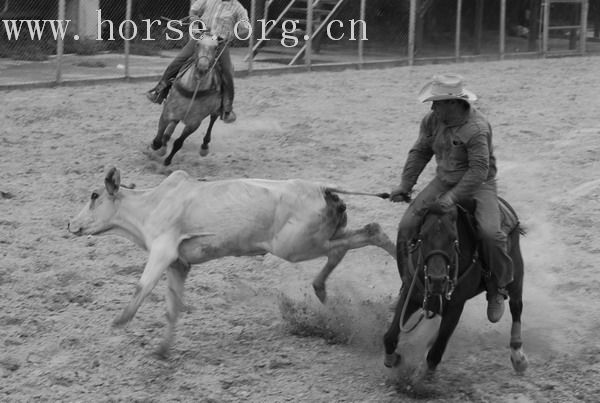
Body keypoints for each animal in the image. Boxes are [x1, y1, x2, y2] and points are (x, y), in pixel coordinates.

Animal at [150, 34, 225, 166]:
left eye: (216, 47)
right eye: (197, 44)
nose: (202, 67)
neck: (193, 88)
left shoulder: (194, 123)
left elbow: (179, 142)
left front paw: (167, 161)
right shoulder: (168, 112)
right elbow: (160, 133)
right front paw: (157, 145)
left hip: (215, 109)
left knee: (212, 119)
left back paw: (204, 147)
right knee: (171, 127)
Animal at [382, 200, 528, 380]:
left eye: (454, 239)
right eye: (422, 236)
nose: (437, 280)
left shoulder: (455, 306)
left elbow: (435, 353)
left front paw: (418, 377)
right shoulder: (412, 294)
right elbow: (390, 336)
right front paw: (393, 359)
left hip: (516, 272)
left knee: (516, 306)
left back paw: (518, 356)